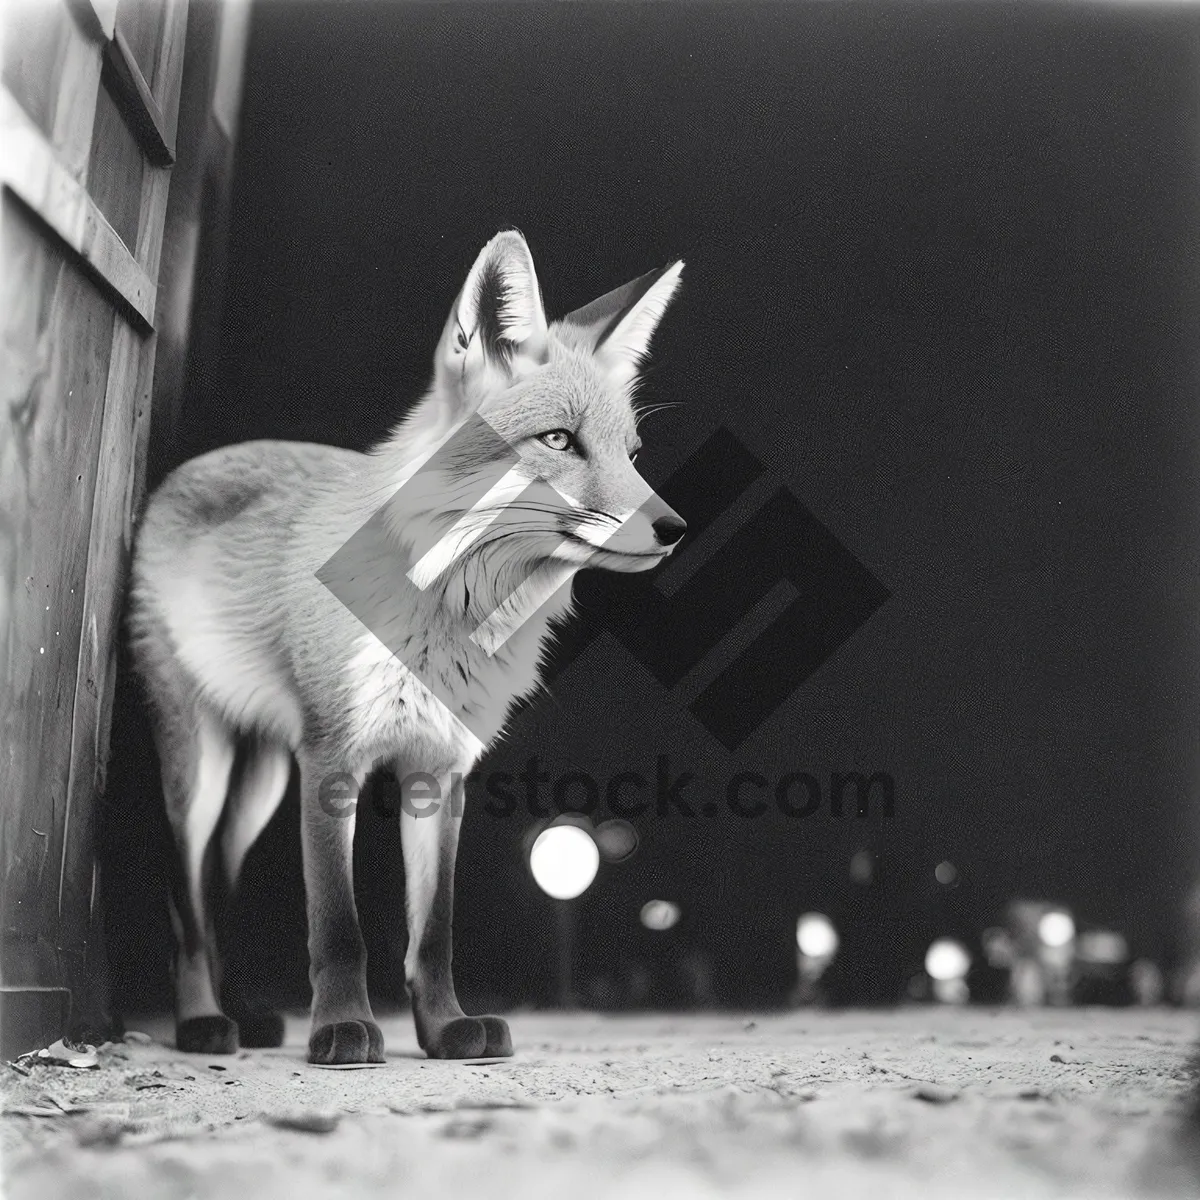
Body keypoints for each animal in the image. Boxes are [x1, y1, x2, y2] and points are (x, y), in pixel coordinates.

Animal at [127, 229, 691, 1065]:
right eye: (559, 440)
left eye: (632, 451)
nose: (674, 528)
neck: (449, 607)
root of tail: (187, 469)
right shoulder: (331, 762)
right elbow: (339, 927)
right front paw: (342, 1028)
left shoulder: (440, 769)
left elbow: (433, 932)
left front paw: (447, 1028)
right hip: (200, 766)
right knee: (184, 899)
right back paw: (202, 1021)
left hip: (261, 781)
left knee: (216, 886)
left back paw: (245, 1012)